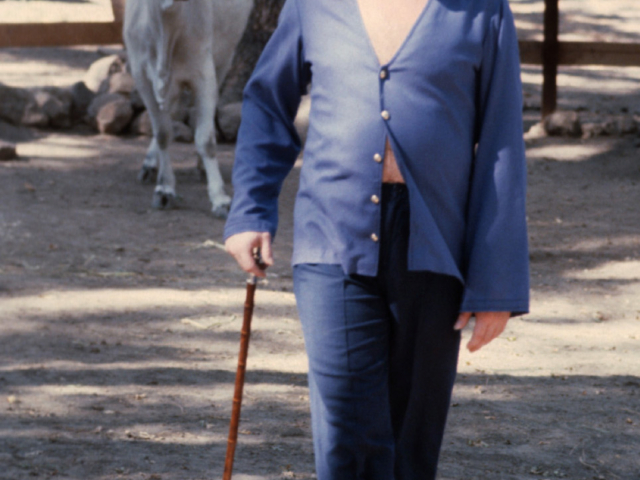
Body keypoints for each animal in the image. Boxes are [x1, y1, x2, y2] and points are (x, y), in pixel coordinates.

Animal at [122, 0, 252, 218]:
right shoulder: (142, 77)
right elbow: (163, 134)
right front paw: (164, 189)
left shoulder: (204, 73)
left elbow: (206, 140)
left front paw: (220, 198)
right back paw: (149, 164)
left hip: (225, 58)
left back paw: (201, 166)